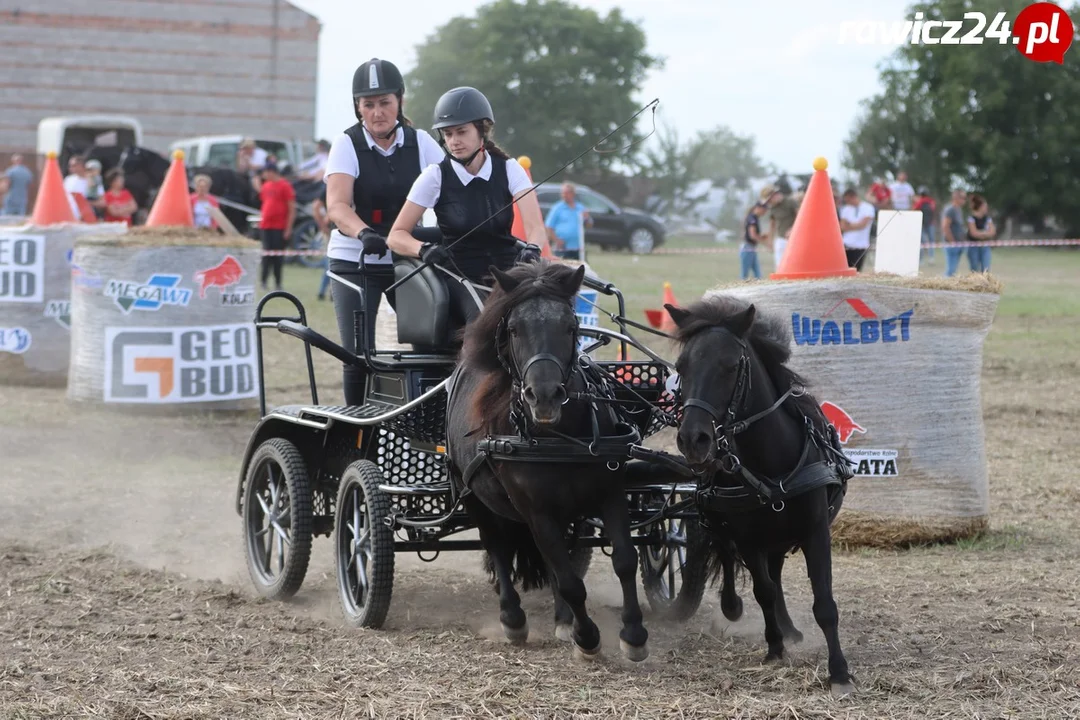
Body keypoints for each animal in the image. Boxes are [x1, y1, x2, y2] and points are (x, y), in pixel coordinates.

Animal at [447, 262, 648, 660]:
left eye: (570, 326)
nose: (544, 396)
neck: (559, 439)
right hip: (473, 495)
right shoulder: (537, 512)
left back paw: (563, 618)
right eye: (513, 329)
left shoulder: (609, 494)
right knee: (498, 549)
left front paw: (633, 635)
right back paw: (513, 619)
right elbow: (569, 580)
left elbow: (623, 559)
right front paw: (588, 638)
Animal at [665, 295, 851, 695]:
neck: (772, 460)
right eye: (681, 367)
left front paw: (840, 672)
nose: (693, 439)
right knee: (739, 563)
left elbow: (824, 602)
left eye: (731, 365)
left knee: (776, 572)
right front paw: (774, 647)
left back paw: (790, 628)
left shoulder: (815, 531)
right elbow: (762, 591)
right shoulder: (747, 537)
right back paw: (739, 608)